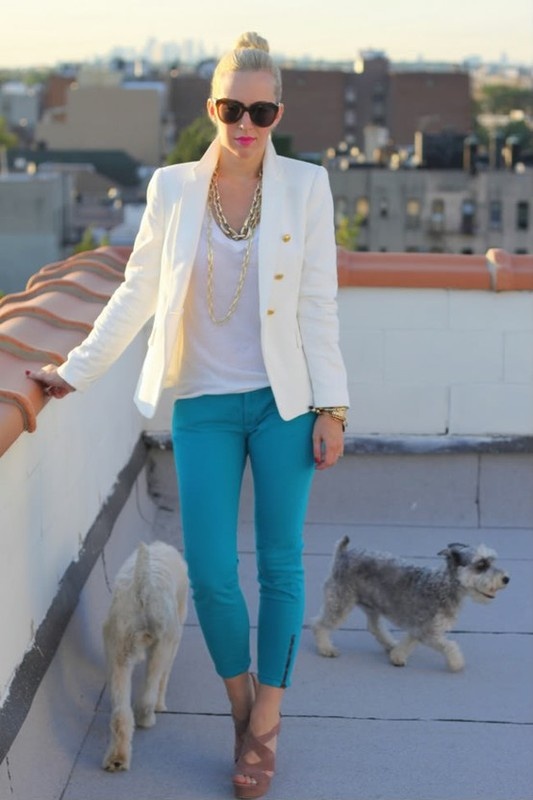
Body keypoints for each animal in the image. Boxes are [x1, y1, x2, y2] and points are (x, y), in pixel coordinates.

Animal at [102, 540, 189, 771]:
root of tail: (143, 587)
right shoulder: (172, 640)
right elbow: (164, 678)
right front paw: (161, 704)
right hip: (161, 645)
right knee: (148, 693)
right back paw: (148, 716)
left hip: (118, 648)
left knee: (121, 713)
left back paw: (117, 758)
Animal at [312, 537, 509, 671]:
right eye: (481, 565)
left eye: (492, 561)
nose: (506, 578)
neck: (445, 586)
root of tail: (343, 554)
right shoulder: (429, 632)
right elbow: (449, 646)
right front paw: (457, 663)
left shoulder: (419, 628)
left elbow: (409, 641)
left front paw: (397, 655)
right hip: (340, 602)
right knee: (319, 624)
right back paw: (326, 648)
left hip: (373, 605)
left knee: (374, 627)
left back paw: (390, 644)